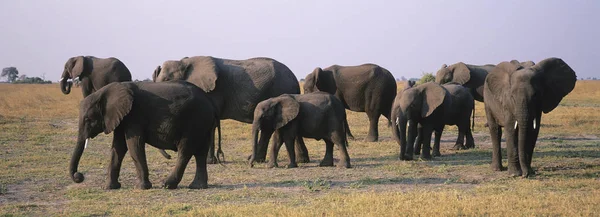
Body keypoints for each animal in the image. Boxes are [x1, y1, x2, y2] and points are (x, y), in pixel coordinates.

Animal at [69, 80, 220, 189]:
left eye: (88, 119)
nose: (79, 176)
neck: (107, 90)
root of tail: (210, 102)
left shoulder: (134, 115)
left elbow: (134, 145)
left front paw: (142, 187)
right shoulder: (122, 117)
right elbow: (118, 147)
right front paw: (110, 187)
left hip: (194, 121)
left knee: (185, 151)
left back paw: (167, 185)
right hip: (203, 123)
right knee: (200, 153)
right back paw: (197, 186)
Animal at [155, 56, 304, 163]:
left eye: (167, 80)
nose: (170, 156)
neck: (184, 62)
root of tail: (295, 79)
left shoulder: (213, 91)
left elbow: (211, 123)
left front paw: (210, 162)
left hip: (279, 89)